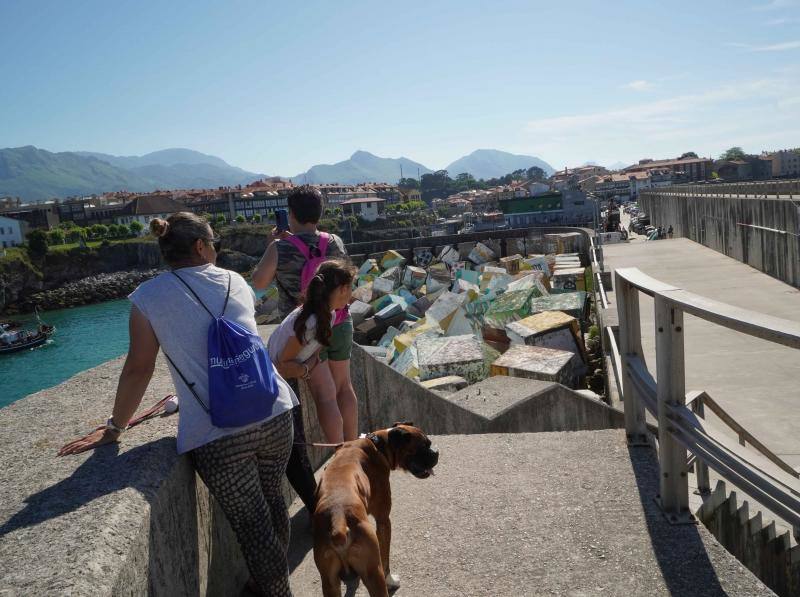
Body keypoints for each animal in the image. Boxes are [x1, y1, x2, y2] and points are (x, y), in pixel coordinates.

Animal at [312, 422, 440, 592]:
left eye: (429, 444)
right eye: (422, 447)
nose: (436, 453)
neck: (378, 445)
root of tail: (338, 520)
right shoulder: (383, 520)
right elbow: (386, 558)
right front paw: (391, 580)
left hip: (329, 582)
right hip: (373, 572)